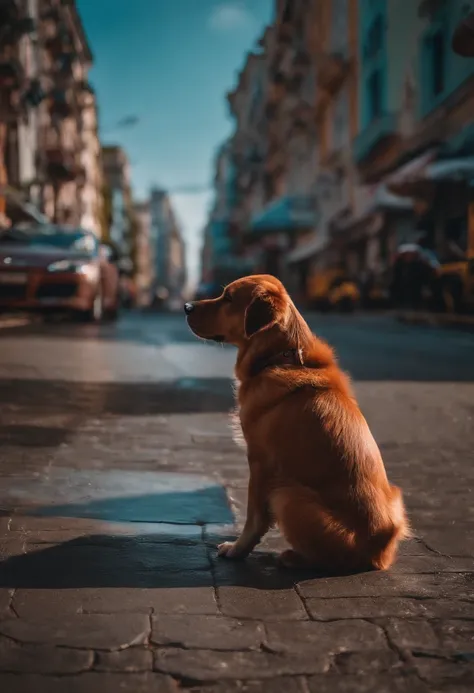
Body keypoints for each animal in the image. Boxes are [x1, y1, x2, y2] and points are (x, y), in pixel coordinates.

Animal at [184, 274, 408, 572]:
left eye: (228, 298)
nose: (186, 306)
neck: (280, 357)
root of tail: (379, 552)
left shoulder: (260, 462)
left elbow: (254, 517)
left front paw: (238, 549)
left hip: (287, 495)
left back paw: (294, 557)